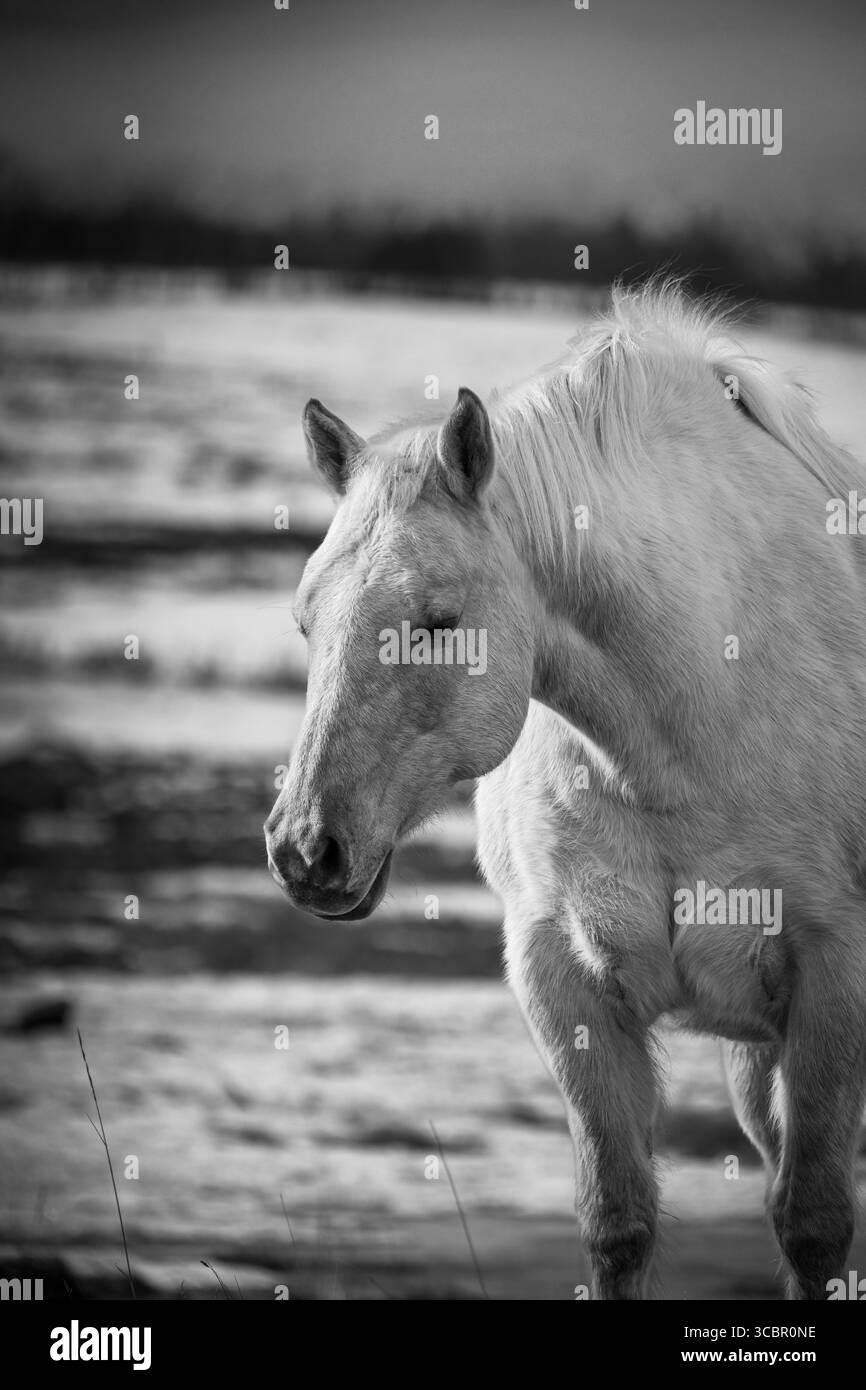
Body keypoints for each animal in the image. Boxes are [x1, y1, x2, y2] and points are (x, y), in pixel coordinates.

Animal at [264, 282, 866, 1300]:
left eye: (438, 621)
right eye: (307, 618)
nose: (308, 848)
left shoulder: (836, 971)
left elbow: (815, 1223)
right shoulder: (565, 983)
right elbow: (618, 1222)